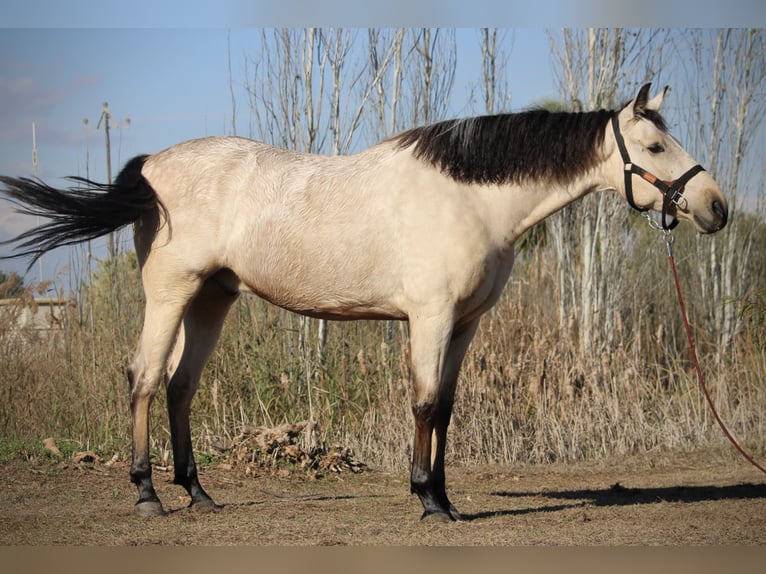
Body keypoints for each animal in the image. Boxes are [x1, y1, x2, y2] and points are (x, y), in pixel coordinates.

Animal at [0, 84, 728, 520]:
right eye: (656, 145)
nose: (716, 208)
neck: (469, 197)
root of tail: (150, 165)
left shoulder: (465, 324)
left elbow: (447, 408)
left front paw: (445, 498)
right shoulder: (430, 318)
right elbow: (425, 403)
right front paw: (427, 500)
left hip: (214, 298)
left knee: (181, 385)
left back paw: (199, 493)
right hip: (170, 294)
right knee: (146, 379)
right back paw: (148, 494)